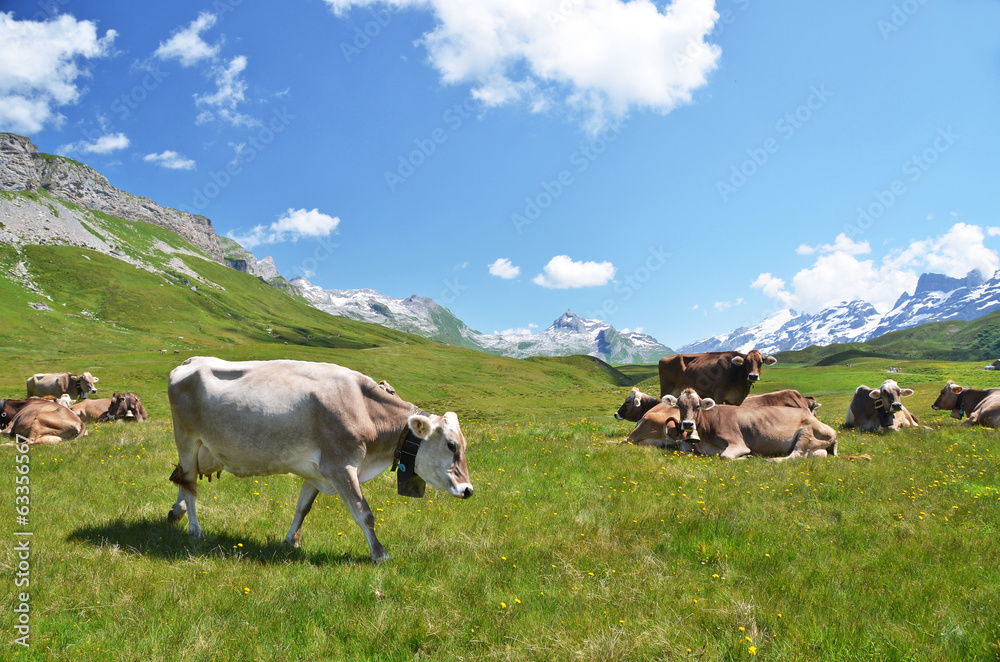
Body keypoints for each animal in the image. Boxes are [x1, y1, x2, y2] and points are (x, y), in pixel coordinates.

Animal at [166, 357, 474, 563]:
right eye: (451, 445)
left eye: (464, 445)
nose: (468, 490)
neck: (365, 409)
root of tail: (192, 360)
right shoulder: (340, 466)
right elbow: (364, 513)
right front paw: (380, 554)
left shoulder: (317, 472)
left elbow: (303, 508)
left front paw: (291, 540)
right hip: (186, 439)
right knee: (190, 485)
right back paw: (195, 529)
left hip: (200, 449)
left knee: (183, 479)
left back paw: (175, 512)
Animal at [663, 388, 838, 461]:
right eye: (679, 405)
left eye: (698, 405)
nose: (687, 424)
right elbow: (684, 448)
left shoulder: (738, 443)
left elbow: (725, 456)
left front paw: (746, 457)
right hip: (816, 449)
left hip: (806, 432)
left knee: (796, 455)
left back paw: (772, 460)